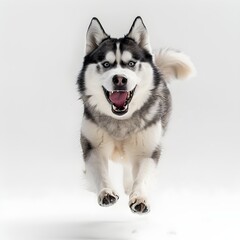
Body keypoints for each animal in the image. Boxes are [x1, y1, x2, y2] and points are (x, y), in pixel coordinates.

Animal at [77, 17, 195, 215]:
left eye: (131, 63)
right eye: (106, 64)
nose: (119, 79)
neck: (120, 122)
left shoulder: (148, 150)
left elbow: (143, 177)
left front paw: (139, 197)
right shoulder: (93, 147)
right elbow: (100, 172)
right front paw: (106, 192)